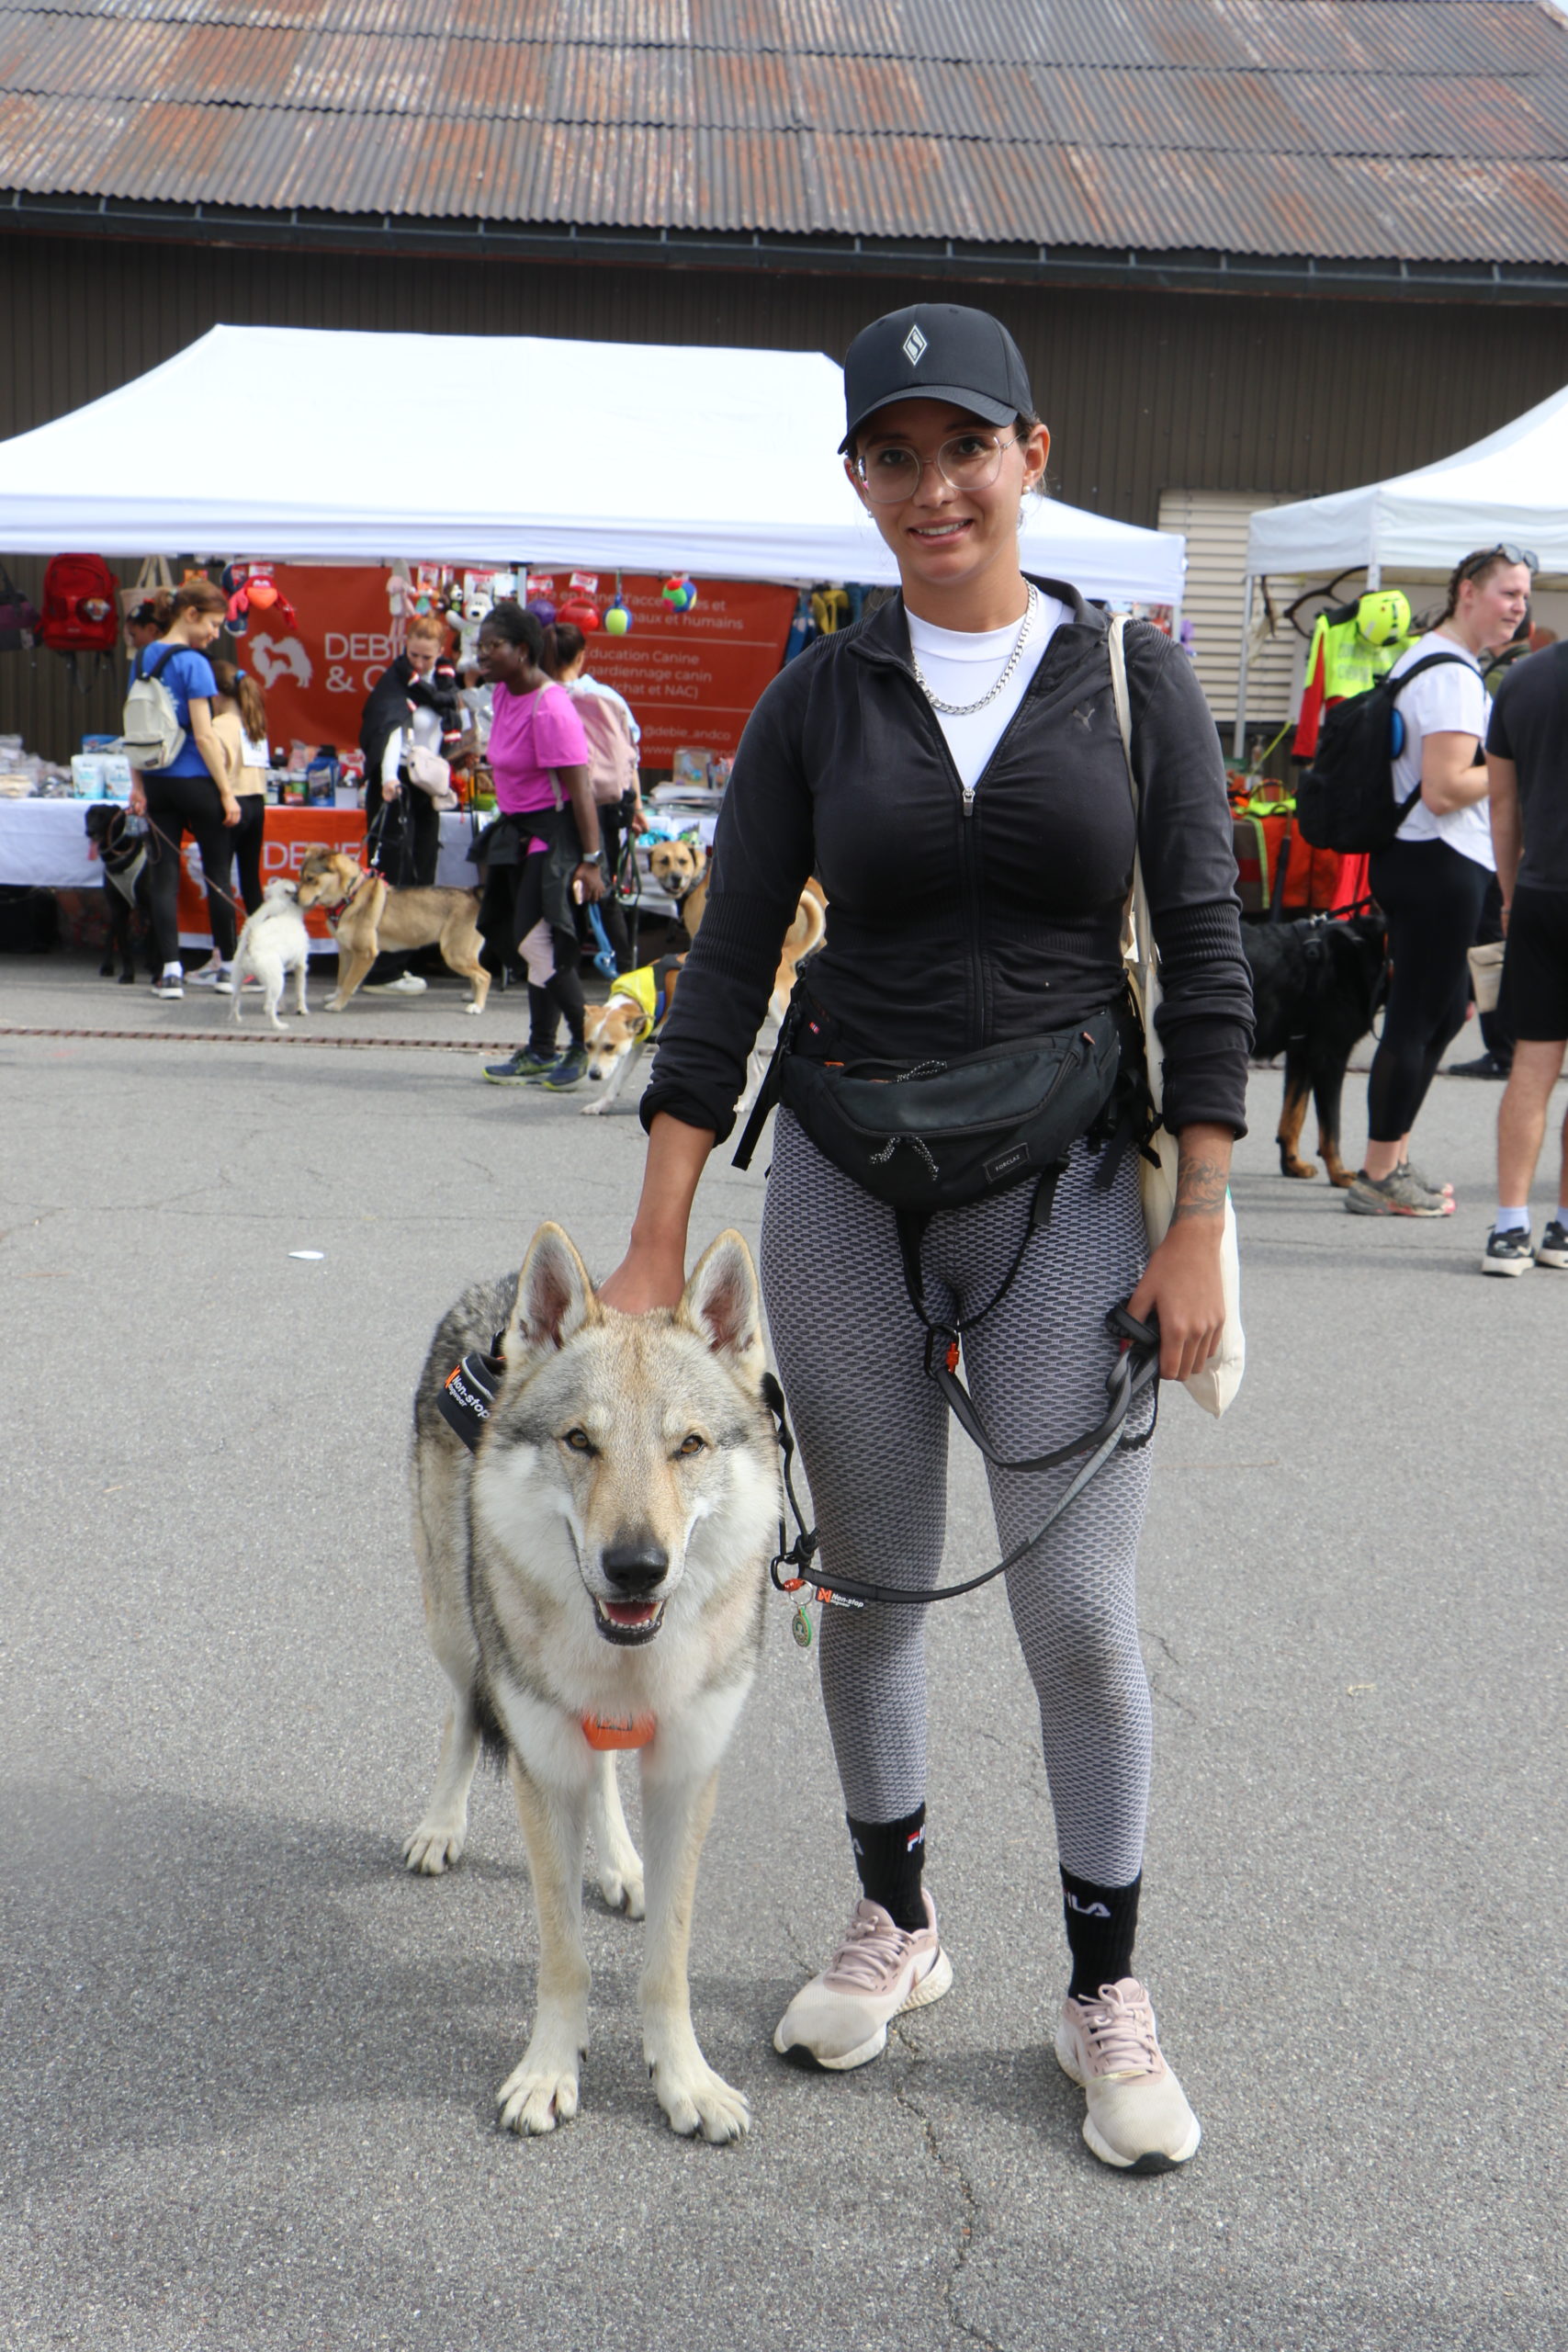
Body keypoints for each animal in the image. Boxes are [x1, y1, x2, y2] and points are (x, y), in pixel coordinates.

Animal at [84, 803, 151, 984]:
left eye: (103, 816)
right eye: (89, 816)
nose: (89, 831)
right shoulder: (118, 906)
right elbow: (123, 946)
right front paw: (128, 974)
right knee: (112, 932)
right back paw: (107, 966)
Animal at [230, 879, 310, 1030]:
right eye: (297, 885)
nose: (300, 882)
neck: (286, 913)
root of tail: (251, 941)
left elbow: (282, 997)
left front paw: (281, 1008)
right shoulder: (300, 966)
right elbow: (300, 991)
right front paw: (302, 1009)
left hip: (239, 978)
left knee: (235, 1000)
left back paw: (236, 1019)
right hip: (276, 980)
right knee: (268, 1006)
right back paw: (278, 1025)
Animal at [294, 847, 490, 1014]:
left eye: (310, 878)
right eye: (300, 876)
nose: (294, 899)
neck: (350, 895)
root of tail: (473, 893)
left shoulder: (365, 954)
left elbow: (349, 982)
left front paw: (337, 1004)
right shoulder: (346, 951)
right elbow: (341, 977)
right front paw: (335, 996)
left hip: (455, 954)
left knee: (484, 976)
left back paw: (477, 1006)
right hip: (464, 954)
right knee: (476, 975)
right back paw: (473, 997)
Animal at [404, 1222, 779, 2142]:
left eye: (688, 1446)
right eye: (580, 1441)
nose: (636, 1568)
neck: (632, 1655)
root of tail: (500, 1281)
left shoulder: (685, 1775)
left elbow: (667, 1962)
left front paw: (686, 2081)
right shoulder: (542, 1770)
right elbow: (562, 1953)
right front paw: (548, 2073)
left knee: (606, 1764)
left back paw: (620, 1866)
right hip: (456, 1626)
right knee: (461, 1716)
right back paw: (439, 1827)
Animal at [1243, 913, 1387, 1185]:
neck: (1362, 950)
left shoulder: (1301, 1054)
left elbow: (1293, 1116)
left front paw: (1292, 1164)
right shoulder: (1329, 1057)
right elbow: (1332, 1128)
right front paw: (1339, 1173)